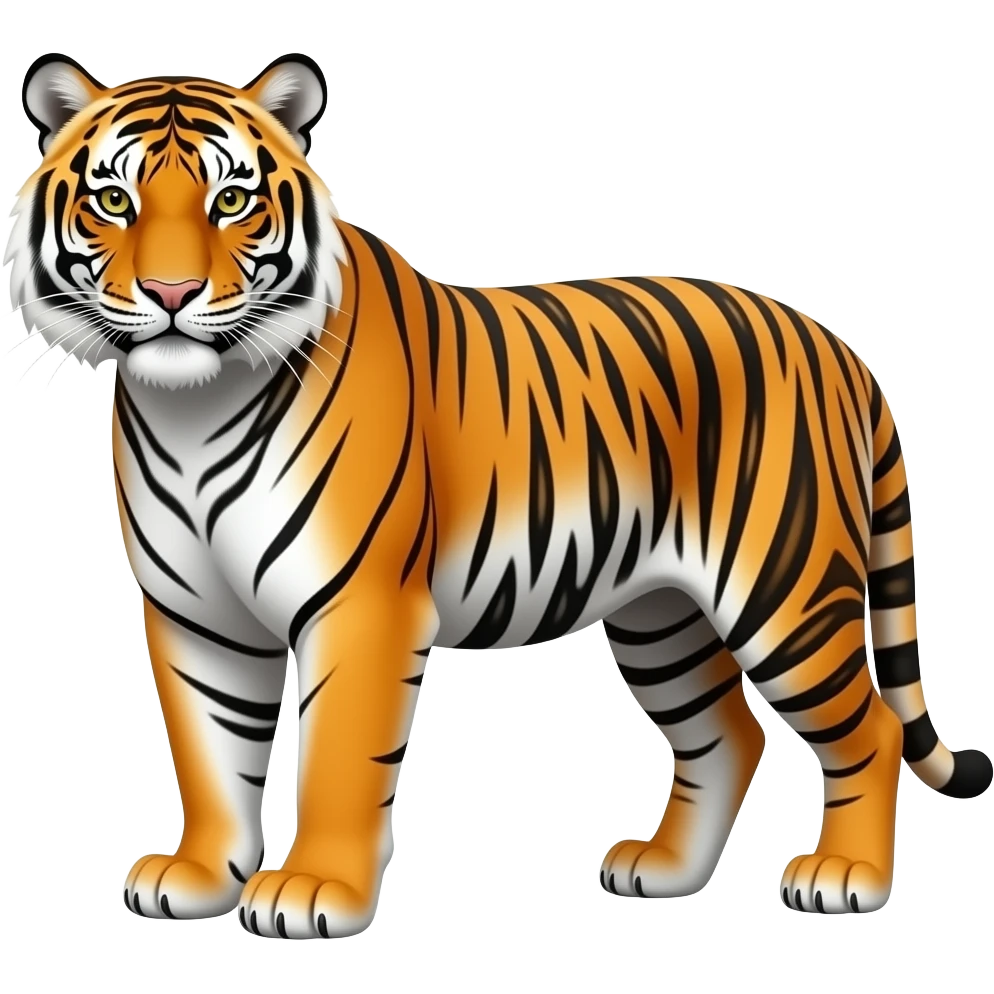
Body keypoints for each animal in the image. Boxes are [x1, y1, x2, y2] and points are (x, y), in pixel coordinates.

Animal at [4, 50, 990, 939]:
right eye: (114, 202)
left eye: (232, 202)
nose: (171, 292)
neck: (193, 408)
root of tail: (837, 345)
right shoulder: (194, 613)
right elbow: (210, 752)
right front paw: (202, 876)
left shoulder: (360, 604)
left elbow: (337, 761)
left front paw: (313, 891)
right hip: (660, 614)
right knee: (728, 736)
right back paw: (665, 871)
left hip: (786, 596)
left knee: (871, 729)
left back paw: (846, 879)